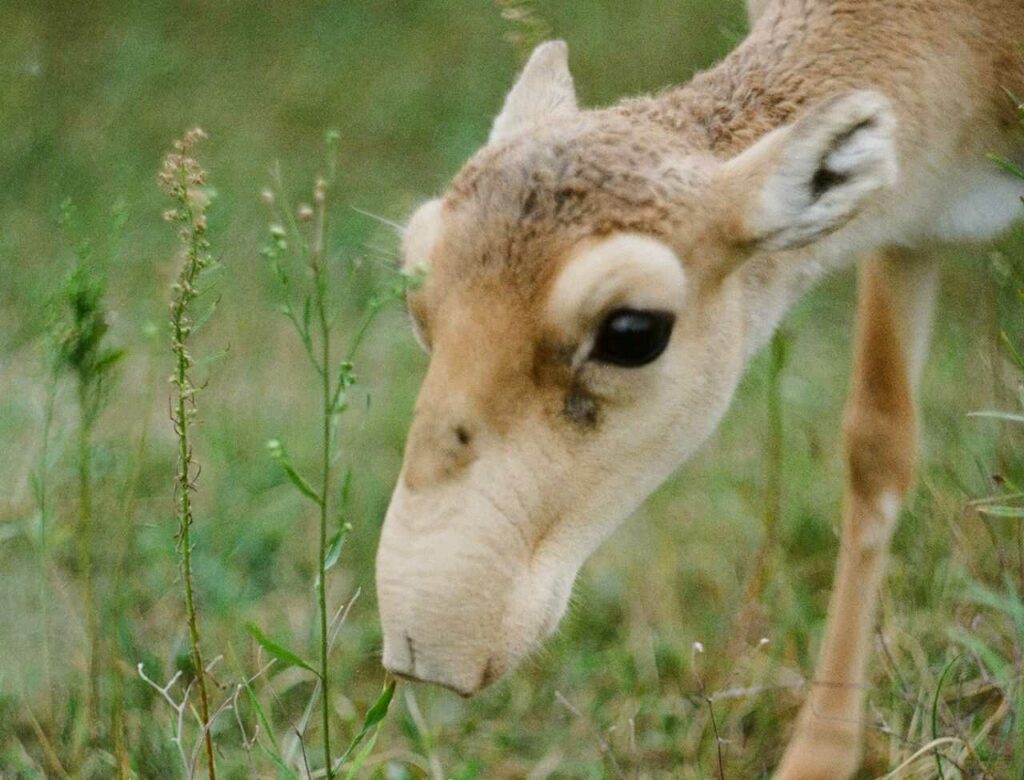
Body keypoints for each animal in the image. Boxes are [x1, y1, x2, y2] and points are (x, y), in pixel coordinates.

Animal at [374, 0, 1024, 773]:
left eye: (632, 329)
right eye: (415, 292)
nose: (427, 641)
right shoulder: (912, 214)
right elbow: (878, 444)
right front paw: (820, 755)